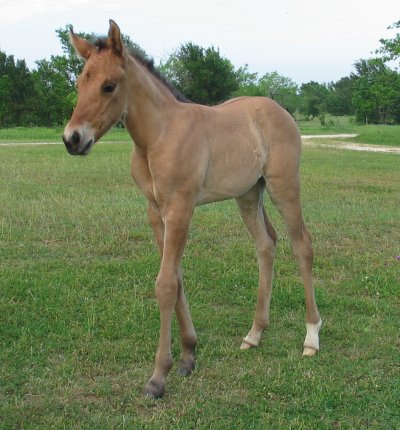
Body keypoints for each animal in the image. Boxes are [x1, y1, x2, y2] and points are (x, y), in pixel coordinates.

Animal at [61, 18, 322, 398]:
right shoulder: (155, 212)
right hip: (248, 194)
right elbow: (178, 277)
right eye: (80, 84)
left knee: (302, 245)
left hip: (283, 187)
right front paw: (188, 356)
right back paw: (254, 334)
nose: (72, 139)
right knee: (266, 245)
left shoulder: (181, 208)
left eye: (109, 86)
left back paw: (312, 336)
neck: (159, 135)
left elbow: (166, 283)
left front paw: (158, 376)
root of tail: (279, 109)